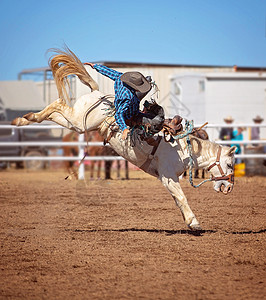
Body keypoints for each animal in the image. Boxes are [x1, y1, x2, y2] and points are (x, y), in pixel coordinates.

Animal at [11, 47, 236, 230]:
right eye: (230, 164)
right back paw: (23, 119)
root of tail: (96, 93)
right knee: (57, 104)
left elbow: (177, 199)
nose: (228, 188)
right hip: (80, 122)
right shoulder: (168, 176)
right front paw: (194, 223)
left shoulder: (168, 178)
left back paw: (26, 118)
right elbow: (181, 197)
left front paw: (189, 221)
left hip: (75, 123)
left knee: (55, 111)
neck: (183, 150)